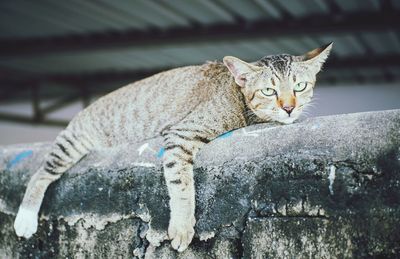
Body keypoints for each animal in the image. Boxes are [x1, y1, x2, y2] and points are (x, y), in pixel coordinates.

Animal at [13, 42, 332, 252]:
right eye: (269, 90)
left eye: (300, 87)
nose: (289, 108)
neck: (238, 95)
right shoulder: (180, 134)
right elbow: (181, 185)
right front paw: (181, 226)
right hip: (72, 144)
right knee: (40, 173)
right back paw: (25, 219)